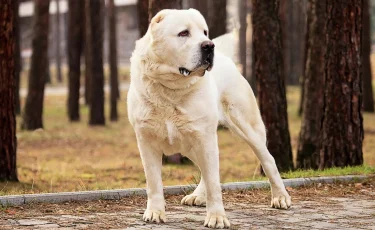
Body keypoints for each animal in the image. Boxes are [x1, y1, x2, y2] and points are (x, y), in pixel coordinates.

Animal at [128, 8, 292, 228]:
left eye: (204, 32)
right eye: (183, 33)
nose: (208, 45)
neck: (172, 89)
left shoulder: (204, 138)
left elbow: (214, 183)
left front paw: (216, 217)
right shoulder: (147, 141)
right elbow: (153, 182)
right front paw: (155, 212)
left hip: (246, 127)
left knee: (268, 160)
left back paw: (280, 197)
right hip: (191, 144)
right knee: (205, 171)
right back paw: (197, 196)